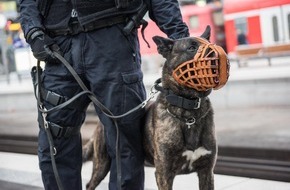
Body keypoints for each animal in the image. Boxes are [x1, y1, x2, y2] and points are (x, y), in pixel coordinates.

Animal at [82, 26, 216, 190]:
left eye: (211, 44)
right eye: (192, 48)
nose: (215, 54)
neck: (189, 112)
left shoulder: (206, 171)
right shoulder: (164, 174)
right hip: (102, 163)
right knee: (90, 184)